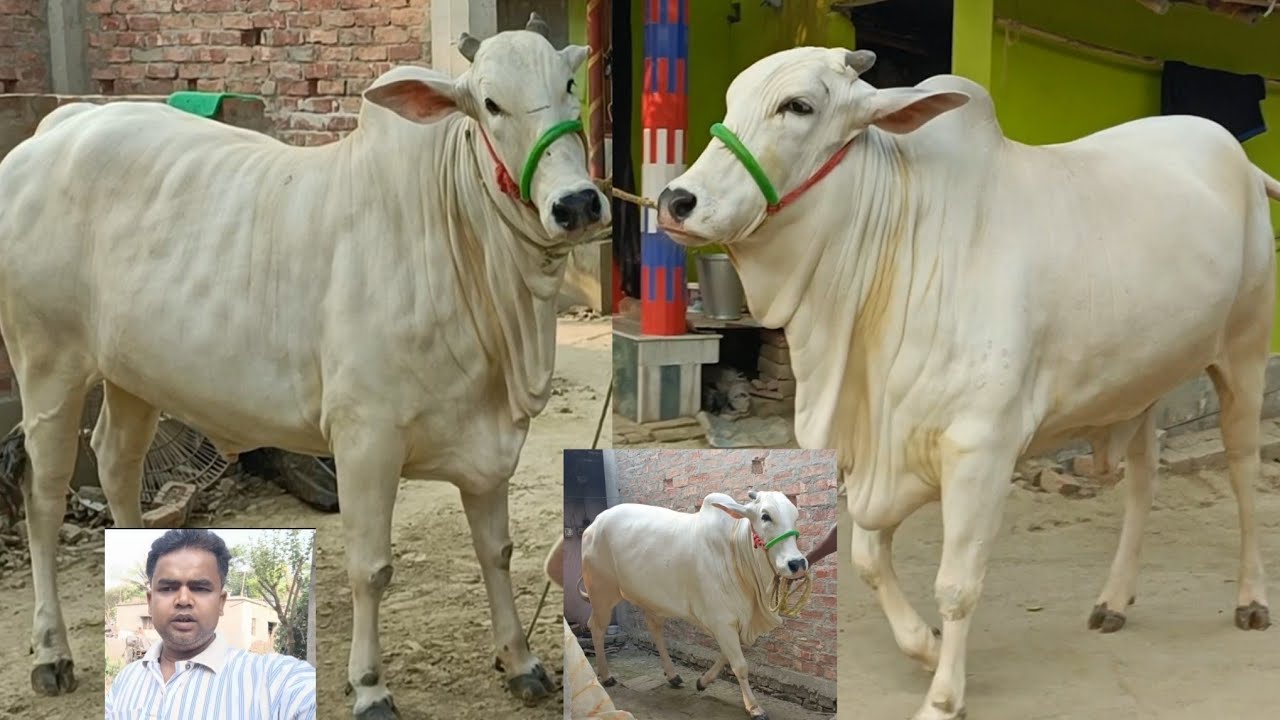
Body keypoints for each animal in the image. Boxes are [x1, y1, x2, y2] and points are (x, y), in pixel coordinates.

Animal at [0, 14, 607, 720]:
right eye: (489, 103)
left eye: (569, 85)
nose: (577, 205)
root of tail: (59, 126)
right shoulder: (366, 437)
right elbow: (372, 567)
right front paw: (369, 687)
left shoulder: (488, 443)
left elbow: (497, 551)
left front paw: (521, 662)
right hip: (47, 365)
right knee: (44, 498)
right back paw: (51, 652)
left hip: (133, 375)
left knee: (118, 463)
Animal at [579, 490, 809, 720]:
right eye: (765, 516)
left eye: (795, 516)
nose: (797, 563)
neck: (736, 550)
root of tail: (594, 524)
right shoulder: (722, 621)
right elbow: (740, 665)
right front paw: (754, 707)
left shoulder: (736, 624)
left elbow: (727, 656)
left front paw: (703, 681)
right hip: (602, 594)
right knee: (596, 627)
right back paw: (606, 675)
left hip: (650, 599)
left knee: (654, 629)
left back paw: (672, 675)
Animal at [655, 46, 1279, 720]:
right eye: (731, 100)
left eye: (798, 105)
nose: (676, 200)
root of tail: (1242, 160)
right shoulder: (882, 448)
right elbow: (867, 557)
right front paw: (924, 645)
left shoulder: (981, 449)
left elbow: (956, 584)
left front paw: (943, 695)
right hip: (1141, 385)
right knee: (1142, 483)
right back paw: (1114, 600)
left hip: (1242, 353)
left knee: (1242, 470)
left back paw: (1250, 598)